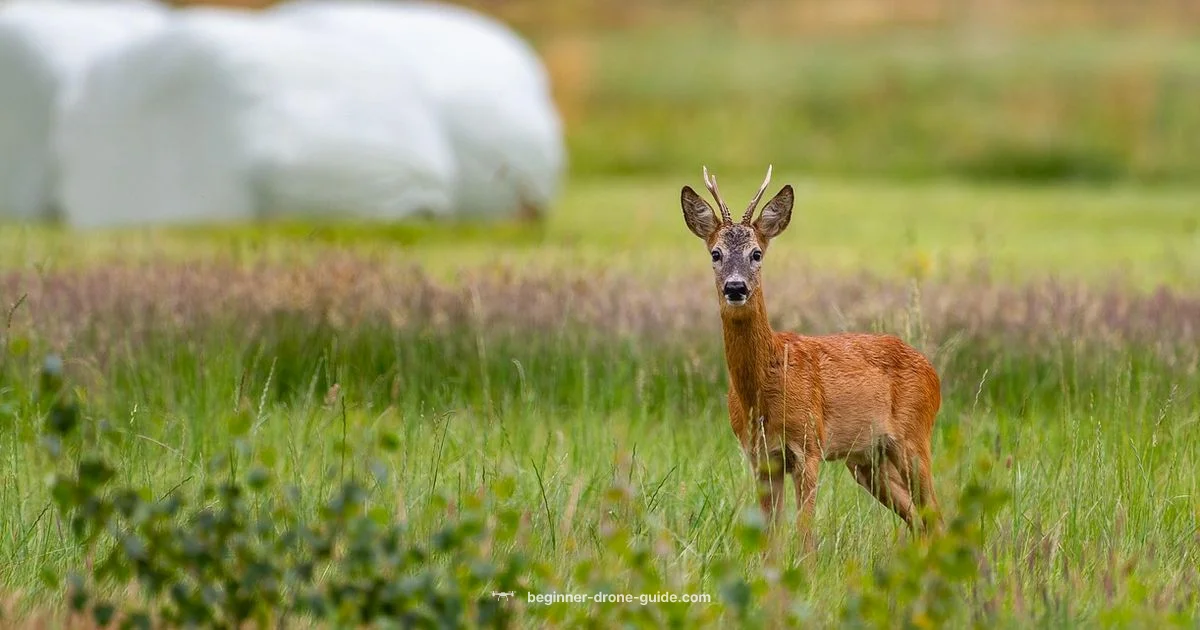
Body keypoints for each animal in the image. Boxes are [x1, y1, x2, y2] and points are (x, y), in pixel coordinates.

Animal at [678, 165, 944, 552]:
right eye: (715, 253)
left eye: (756, 253)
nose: (736, 287)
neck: (764, 387)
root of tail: (933, 372)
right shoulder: (761, 457)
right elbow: (770, 535)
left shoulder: (809, 446)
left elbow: (804, 532)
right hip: (867, 461)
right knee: (919, 518)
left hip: (914, 438)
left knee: (935, 513)